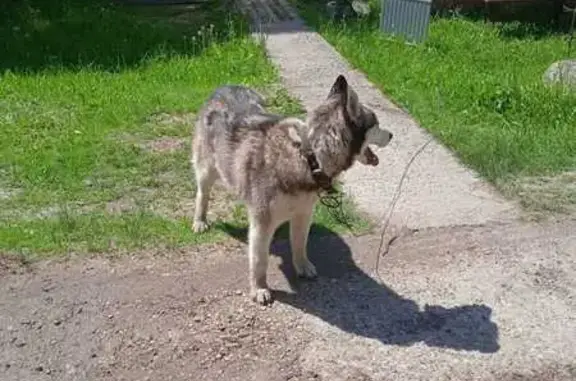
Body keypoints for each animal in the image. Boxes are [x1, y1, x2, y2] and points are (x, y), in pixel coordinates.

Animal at [191, 75, 394, 304]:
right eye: (376, 123)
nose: (391, 135)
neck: (309, 155)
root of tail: (227, 86)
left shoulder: (303, 213)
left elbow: (299, 244)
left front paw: (302, 266)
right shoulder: (262, 223)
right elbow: (259, 259)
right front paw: (259, 288)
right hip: (207, 170)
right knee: (202, 194)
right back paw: (199, 220)